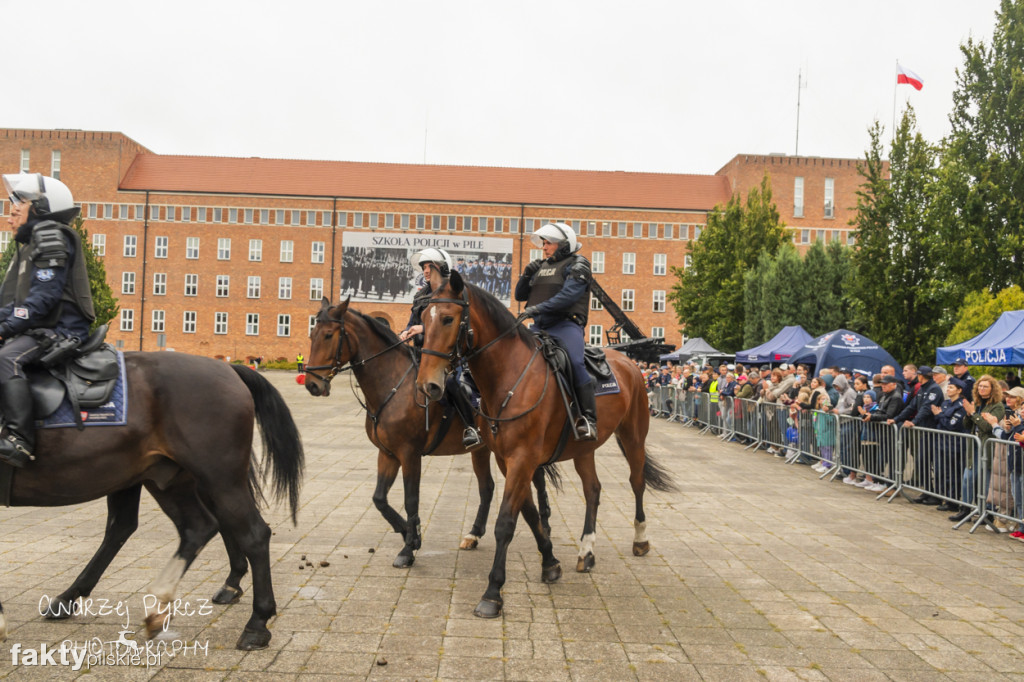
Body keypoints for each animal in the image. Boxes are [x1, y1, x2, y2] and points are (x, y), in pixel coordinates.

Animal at [0, 352, 303, 647]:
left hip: (217, 477)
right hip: (164, 478)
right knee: (190, 527)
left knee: (252, 534)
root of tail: (227, 369)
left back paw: (256, 623)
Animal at [303, 296, 561, 569]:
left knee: (537, 482)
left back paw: (545, 527)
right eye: (312, 334)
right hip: (482, 450)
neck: (394, 385)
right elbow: (379, 499)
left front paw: (409, 547)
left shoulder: (409, 454)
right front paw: (407, 532)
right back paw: (474, 534)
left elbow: (411, 499)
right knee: (487, 487)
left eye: (328, 335)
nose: (312, 384)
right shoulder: (388, 454)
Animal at [411, 270, 675, 614]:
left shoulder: (523, 458)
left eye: (447, 318)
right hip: (583, 448)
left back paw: (640, 539)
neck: (509, 377)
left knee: (637, 481)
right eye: (422, 320)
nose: (427, 385)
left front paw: (492, 593)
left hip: (633, 435)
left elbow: (506, 522)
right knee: (593, 490)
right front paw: (550, 563)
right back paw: (586, 550)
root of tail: (627, 360)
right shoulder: (508, 459)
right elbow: (530, 513)